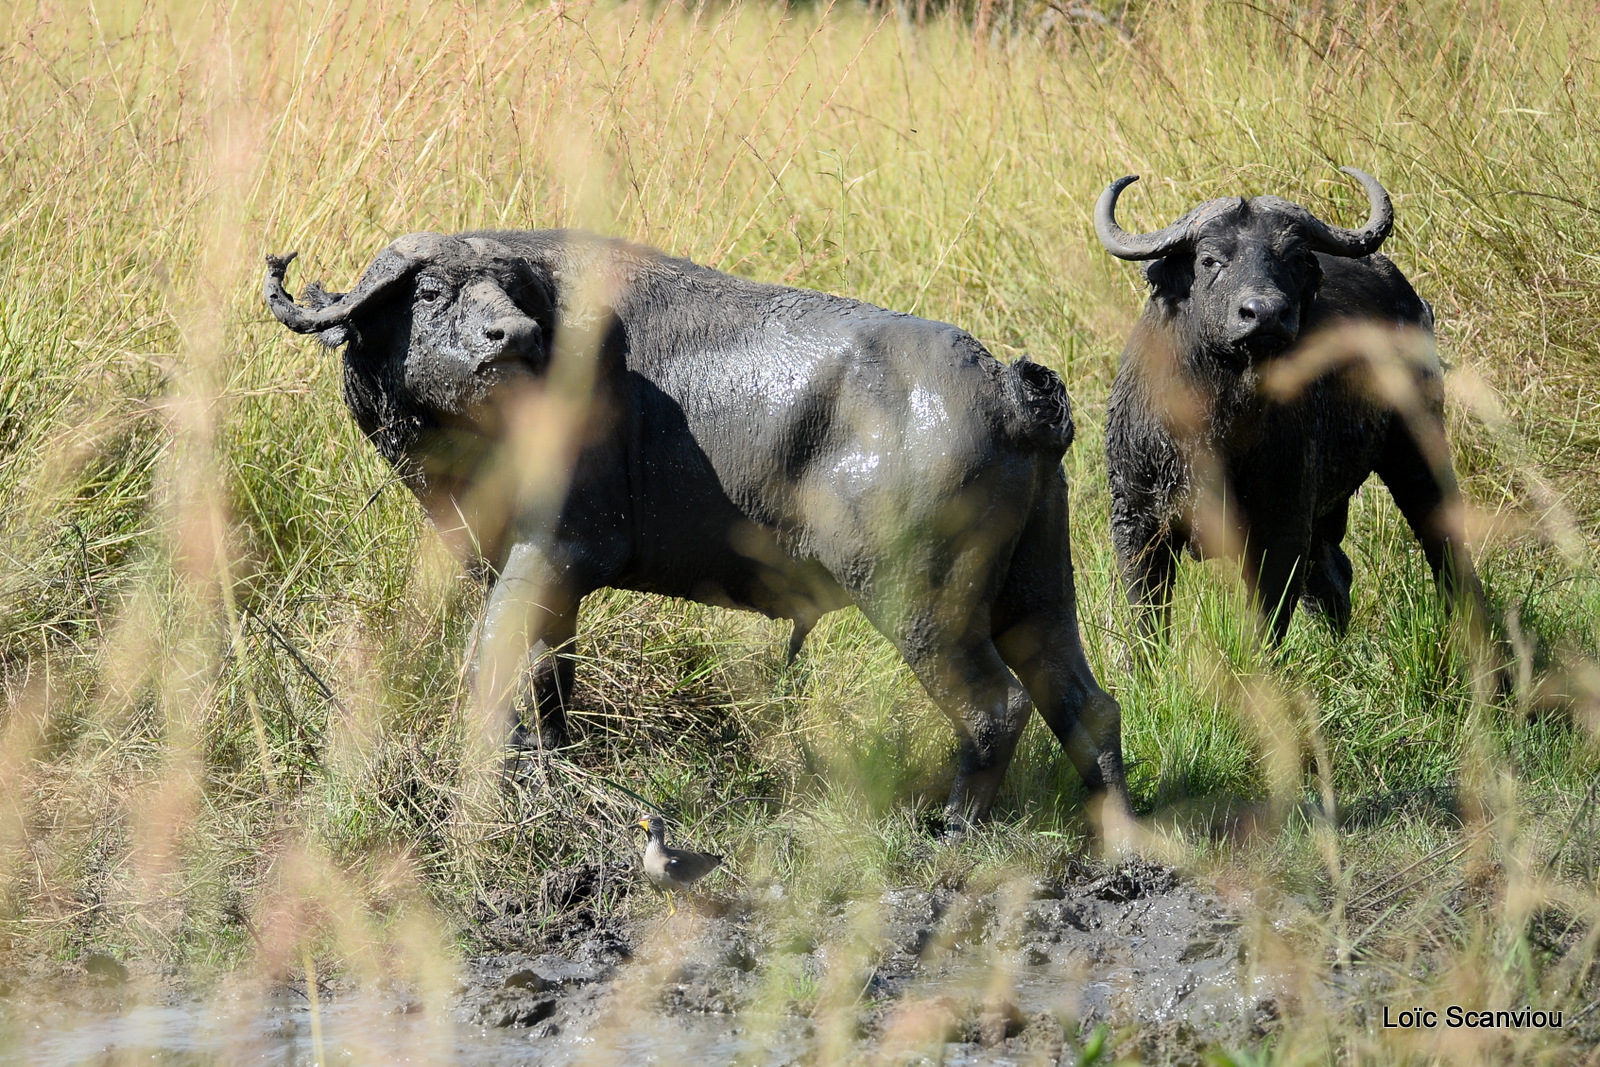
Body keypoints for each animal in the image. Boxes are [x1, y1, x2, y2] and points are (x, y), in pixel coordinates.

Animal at [262, 231, 1132, 831]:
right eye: (433, 289)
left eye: (510, 291)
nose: (513, 337)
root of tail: (1010, 389)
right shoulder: (540, 575)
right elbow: (549, 683)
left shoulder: (553, 554)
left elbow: (491, 667)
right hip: (1036, 591)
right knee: (1086, 703)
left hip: (923, 604)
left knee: (997, 707)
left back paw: (953, 824)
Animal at [1100, 167, 1484, 652]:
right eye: (1210, 259)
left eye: (1295, 256)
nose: (1264, 314)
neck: (1221, 420)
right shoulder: (1137, 521)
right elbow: (1145, 621)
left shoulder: (1282, 524)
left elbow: (1267, 620)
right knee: (1335, 575)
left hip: (1416, 449)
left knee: (1445, 547)